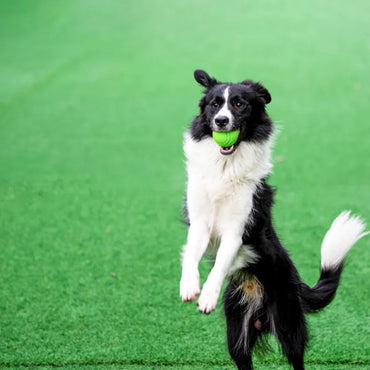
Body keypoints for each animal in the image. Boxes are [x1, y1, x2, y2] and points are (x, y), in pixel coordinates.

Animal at [179, 70, 368, 370]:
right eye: (214, 105)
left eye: (239, 104)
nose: (221, 121)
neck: (226, 167)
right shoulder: (200, 222)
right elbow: (191, 255)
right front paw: (189, 287)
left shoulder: (237, 229)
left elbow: (220, 263)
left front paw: (207, 296)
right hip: (237, 333)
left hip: (288, 325)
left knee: (297, 358)